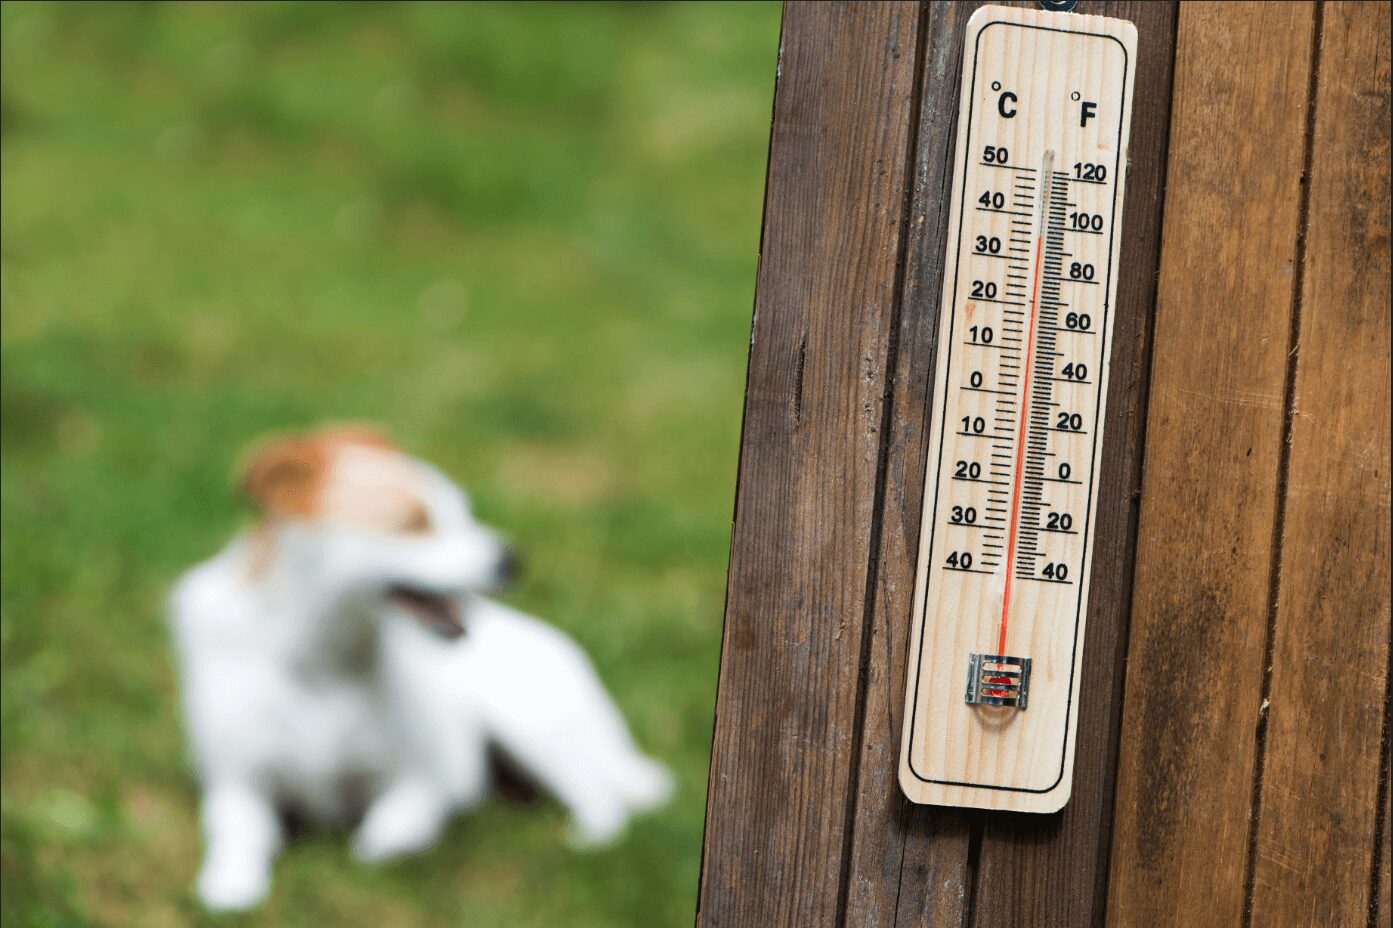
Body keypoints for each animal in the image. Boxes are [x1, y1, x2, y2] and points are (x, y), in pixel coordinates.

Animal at [168, 429, 668, 908]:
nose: (513, 560)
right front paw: (230, 886)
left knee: (600, 795)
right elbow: (237, 833)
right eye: (414, 523)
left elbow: (390, 830)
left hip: (536, 728)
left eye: (463, 512)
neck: (323, 663)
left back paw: (586, 838)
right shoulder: (237, 782)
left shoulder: (427, 777)